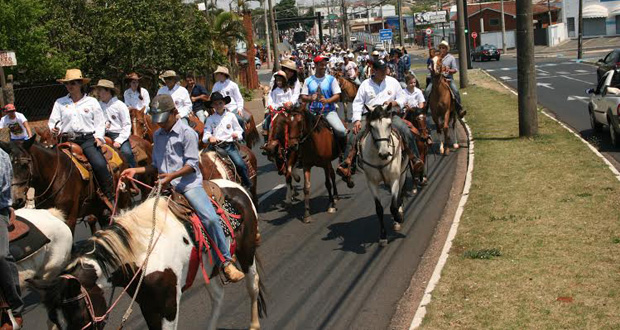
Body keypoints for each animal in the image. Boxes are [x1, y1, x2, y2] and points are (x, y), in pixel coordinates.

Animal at [30, 180, 266, 330]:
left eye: (78, 316)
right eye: (54, 320)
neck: (144, 254)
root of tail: (237, 187)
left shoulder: (169, 304)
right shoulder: (147, 305)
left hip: (246, 254)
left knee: (252, 285)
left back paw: (254, 324)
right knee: (217, 296)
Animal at [356, 104, 410, 246]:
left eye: (389, 124)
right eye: (372, 126)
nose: (385, 154)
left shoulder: (394, 179)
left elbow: (393, 206)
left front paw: (399, 218)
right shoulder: (372, 183)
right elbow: (379, 209)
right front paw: (383, 236)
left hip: (403, 173)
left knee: (400, 195)